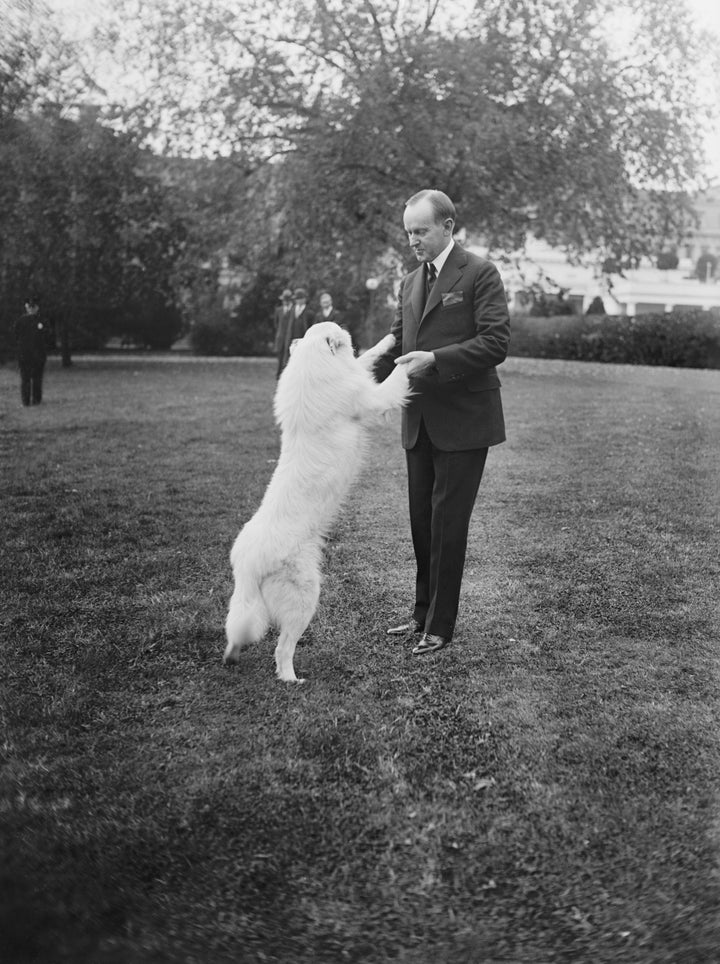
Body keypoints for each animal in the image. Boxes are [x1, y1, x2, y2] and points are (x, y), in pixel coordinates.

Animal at [222, 324, 410, 684]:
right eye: (339, 330)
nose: (347, 329)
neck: (312, 364)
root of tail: (248, 562)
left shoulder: (357, 375)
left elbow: (367, 357)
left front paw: (391, 340)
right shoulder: (372, 399)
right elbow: (395, 378)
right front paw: (412, 359)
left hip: (249, 601)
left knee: (238, 627)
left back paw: (232, 655)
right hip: (305, 597)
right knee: (282, 648)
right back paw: (291, 679)